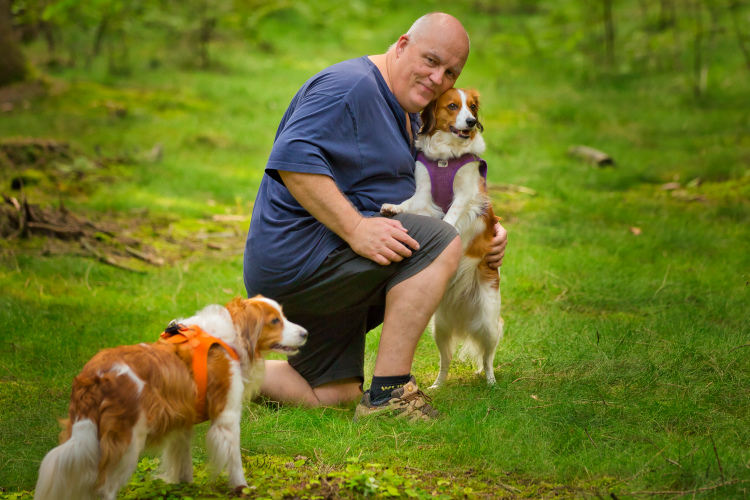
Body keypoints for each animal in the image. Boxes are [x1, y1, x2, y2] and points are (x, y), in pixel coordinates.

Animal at [33, 294, 310, 498]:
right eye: (275, 321)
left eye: (283, 316)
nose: (306, 333)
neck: (229, 337)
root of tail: (95, 375)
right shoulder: (227, 419)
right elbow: (235, 463)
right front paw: (242, 488)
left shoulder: (182, 419)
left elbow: (183, 462)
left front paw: (184, 486)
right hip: (127, 443)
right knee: (104, 489)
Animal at [382, 88, 506, 388]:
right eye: (452, 106)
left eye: (472, 107)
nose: (471, 122)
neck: (446, 156)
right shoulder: (423, 193)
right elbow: (409, 203)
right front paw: (394, 207)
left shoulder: (466, 194)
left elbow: (452, 215)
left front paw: (448, 227)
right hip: (439, 326)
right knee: (445, 361)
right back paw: (437, 385)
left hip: (488, 321)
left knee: (488, 357)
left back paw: (491, 382)